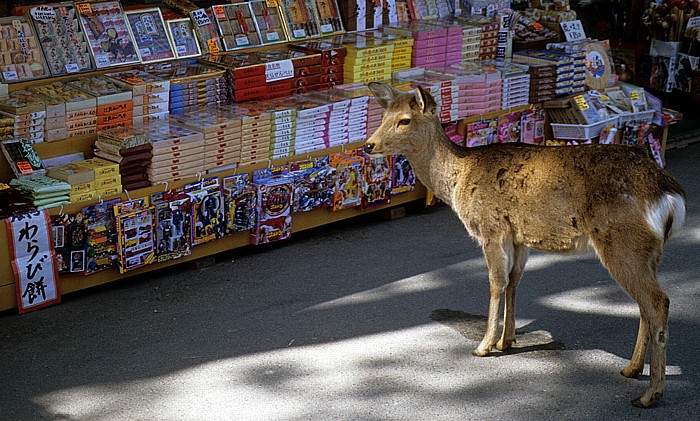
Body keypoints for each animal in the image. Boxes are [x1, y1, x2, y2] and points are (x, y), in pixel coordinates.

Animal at [364, 82, 688, 406]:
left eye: (404, 120)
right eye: (383, 115)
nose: (368, 145)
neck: (459, 179)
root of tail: (670, 194)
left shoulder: (491, 228)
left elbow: (496, 282)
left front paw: (484, 345)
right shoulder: (519, 237)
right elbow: (514, 281)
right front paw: (507, 340)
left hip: (622, 241)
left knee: (657, 301)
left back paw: (650, 394)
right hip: (649, 252)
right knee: (646, 303)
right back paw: (631, 369)